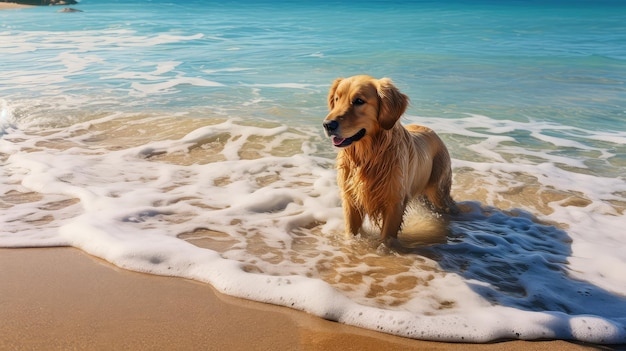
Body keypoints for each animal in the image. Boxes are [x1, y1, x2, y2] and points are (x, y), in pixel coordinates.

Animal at [322, 75, 454, 242]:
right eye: (337, 99)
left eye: (359, 101)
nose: (327, 125)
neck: (369, 156)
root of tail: (433, 132)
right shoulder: (351, 200)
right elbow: (351, 232)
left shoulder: (394, 203)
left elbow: (387, 238)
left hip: (437, 191)